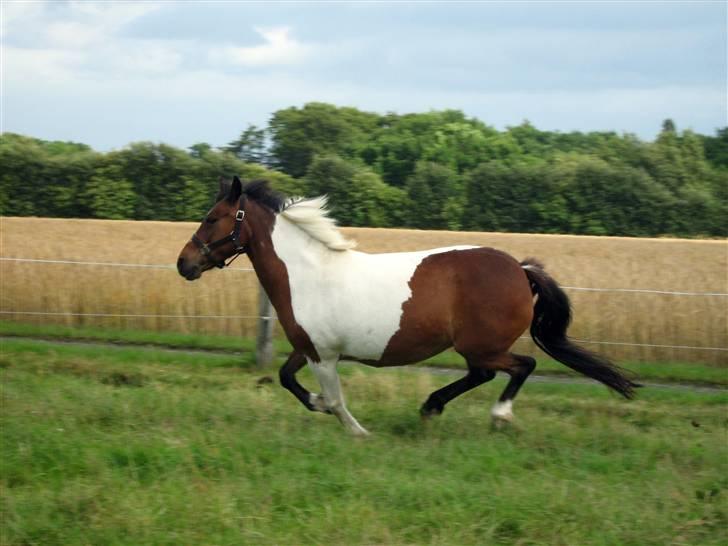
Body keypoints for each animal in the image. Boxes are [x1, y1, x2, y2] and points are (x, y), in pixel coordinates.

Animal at [176, 176, 636, 436]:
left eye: (213, 218)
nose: (184, 263)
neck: (308, 273)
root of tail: (520, 270)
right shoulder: (307, 349)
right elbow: (288, 380)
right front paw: (318, 404)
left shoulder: (324, 356)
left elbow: (337, 400)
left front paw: (358, 432)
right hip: (477, 348)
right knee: (485, 374)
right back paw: (432, 407)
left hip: (482, 345)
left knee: (519, 367)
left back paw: (496, 415)